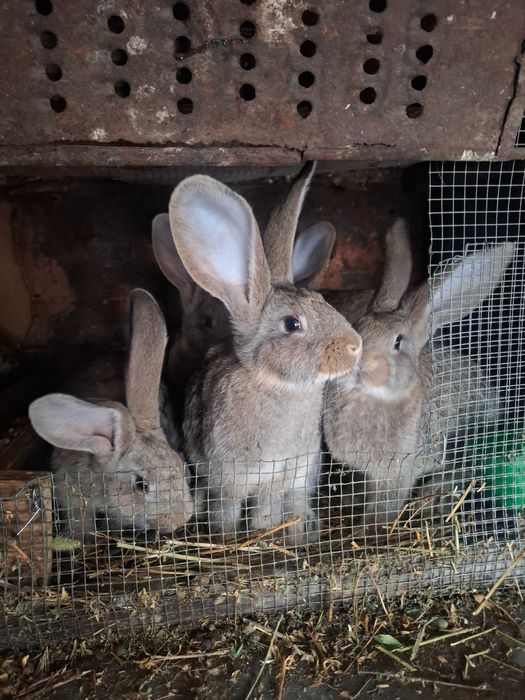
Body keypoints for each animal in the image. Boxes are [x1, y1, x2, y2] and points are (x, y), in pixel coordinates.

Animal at [166, 161, 362, 545]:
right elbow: (226, 509)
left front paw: (265, 532)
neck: (275, 383)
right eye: (292, 324)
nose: (355, 346)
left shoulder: (281, 473)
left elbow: (267, 508)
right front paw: (225, 538)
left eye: (322, 300)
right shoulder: (228, 476)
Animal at [323, 218, 515, 532]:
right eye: (357, 328)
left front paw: (371, 531)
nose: (360, 365)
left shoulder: (400, 472)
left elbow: (385, 506)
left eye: (398, 342)